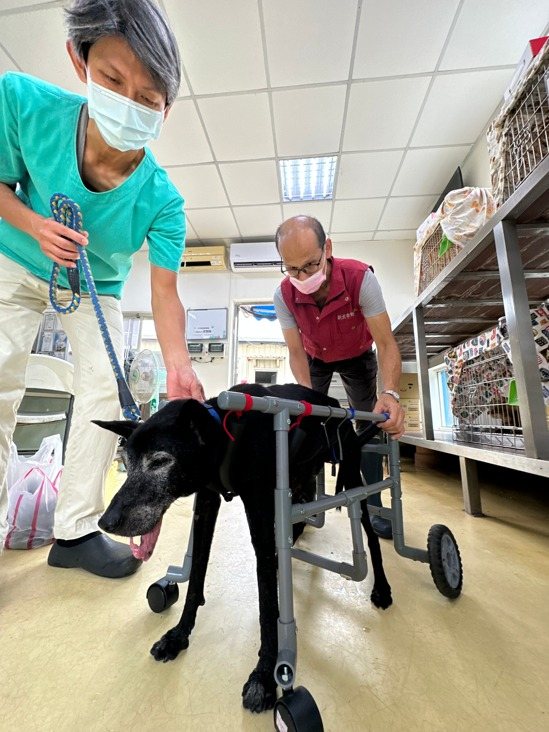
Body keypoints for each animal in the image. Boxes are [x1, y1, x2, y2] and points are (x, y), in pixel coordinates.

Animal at [94, 384, 390, 716]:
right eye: (128, 462)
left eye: (159, 461)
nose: (106, 522)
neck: (225, 437)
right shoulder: (207, 503)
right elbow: (196, 577)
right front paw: (179, 635)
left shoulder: (260, 512)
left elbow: (267, 606)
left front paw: (264, 677)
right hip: (299, 482)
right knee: (298, 522)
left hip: (352, 482)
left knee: (370, 537)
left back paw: (382, 589)